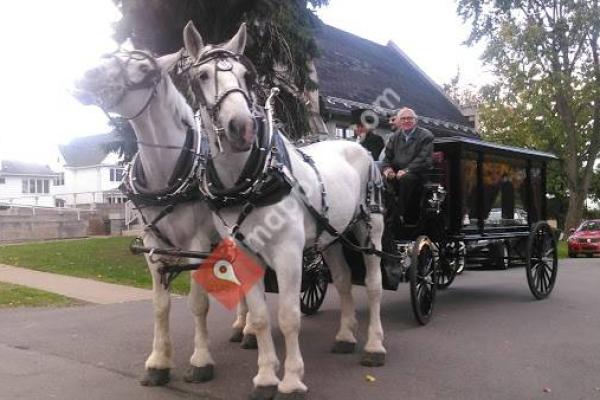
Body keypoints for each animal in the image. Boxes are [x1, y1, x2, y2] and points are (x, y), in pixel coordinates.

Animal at [72, 50, 255, 388]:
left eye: (144, 68)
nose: (87, 76)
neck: (168, 171)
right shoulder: (153, 245)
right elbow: (160, 306)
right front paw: (158, 362)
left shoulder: (197, 244)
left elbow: (198, 304)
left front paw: (200, 361)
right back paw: (240, 326)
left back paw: (249, 331)